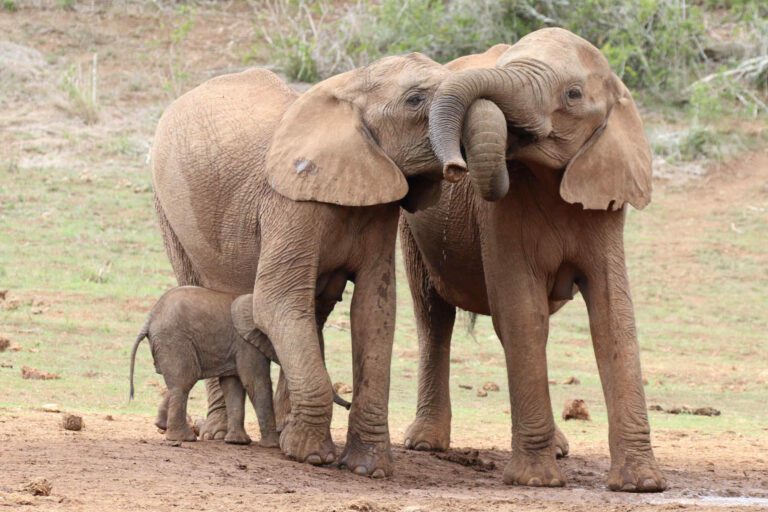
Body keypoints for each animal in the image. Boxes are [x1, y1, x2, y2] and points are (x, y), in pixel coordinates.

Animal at [150, 54, 457, 477]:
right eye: (414, 100)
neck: (348, 89)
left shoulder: (380, 205)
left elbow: (373, 311)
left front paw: (368, 469)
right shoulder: (289, 203)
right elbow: (276, 302)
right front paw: (311, 456)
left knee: (314, 309)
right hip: (168, 206)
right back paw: (216, 433)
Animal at [399, 28, 665, 492]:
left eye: (573, 94)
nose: (455, 168)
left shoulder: (606, 205)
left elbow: (613, 318)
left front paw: (642, 485)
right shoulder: (501, 213)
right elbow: (524, 313)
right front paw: (536, 481)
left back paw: (559, 448)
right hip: (413, 230)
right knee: (433, 315)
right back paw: (425, 444)